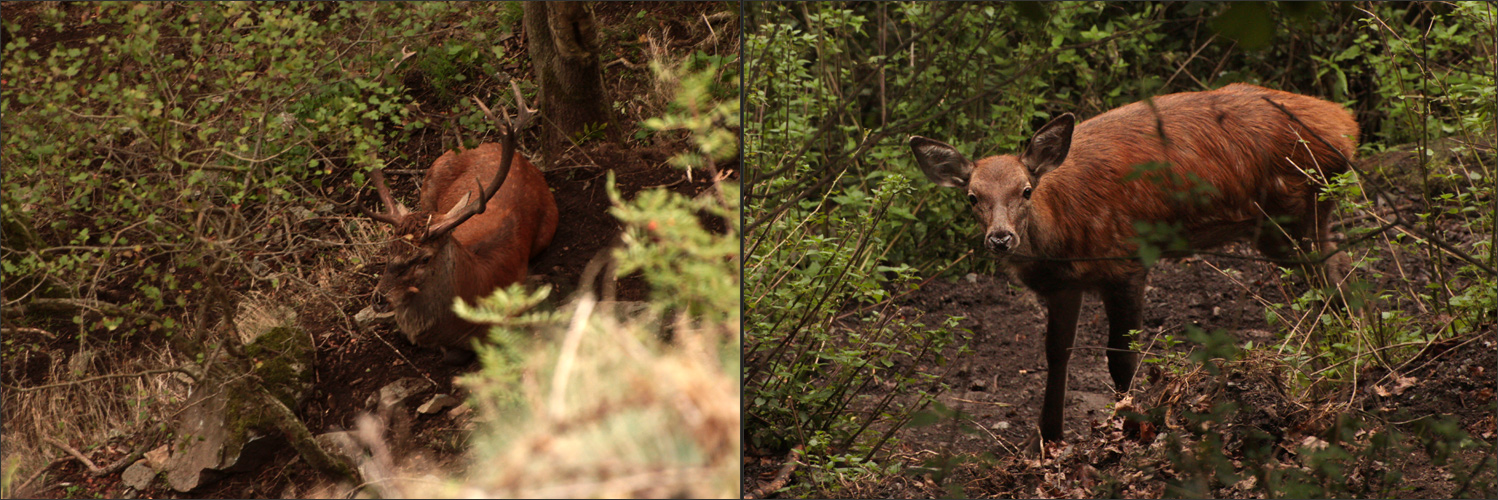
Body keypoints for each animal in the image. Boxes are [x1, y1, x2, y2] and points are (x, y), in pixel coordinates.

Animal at [904, 83, 1366, 446]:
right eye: (972, 196)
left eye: (1026, 189)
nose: (1000, 238)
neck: (1064, 236)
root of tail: (1348, 125)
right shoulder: (1064, 286)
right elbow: (1056, 353)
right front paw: (1046, 440)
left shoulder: (1126, 262)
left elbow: (1121, 356)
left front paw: (1128, 427)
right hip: (1295, 219)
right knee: (1339, 271)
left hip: (1292, 210)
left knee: (1331, 278)